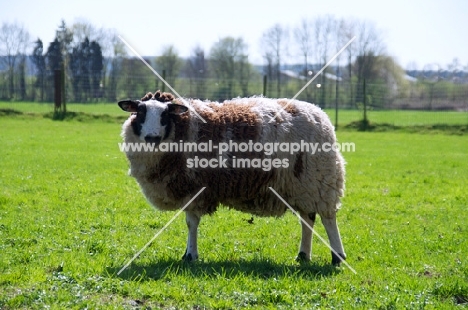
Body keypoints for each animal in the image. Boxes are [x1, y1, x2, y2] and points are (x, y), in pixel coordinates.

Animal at [119, 91, 346, 266]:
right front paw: (189, 254)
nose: (152, 138)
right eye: (140, 112)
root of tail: (319, 113)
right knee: (307, 219)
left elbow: (191, 223)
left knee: (327, 218)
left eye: (165, 115)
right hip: (301, 185)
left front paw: (190, 255)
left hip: (319, 178)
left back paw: (338, 257)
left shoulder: (195, 187)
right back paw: (303, 255)